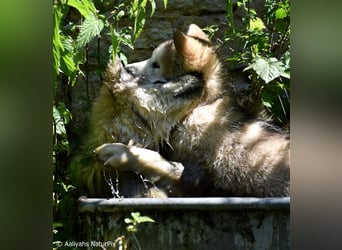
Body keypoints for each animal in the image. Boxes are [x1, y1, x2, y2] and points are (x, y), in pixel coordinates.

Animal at [76, 23, 290, 199]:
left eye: (156, 64)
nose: (126, 66)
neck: (201, 107)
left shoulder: (196, 178)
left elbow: (158, 161)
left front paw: (121, 153)